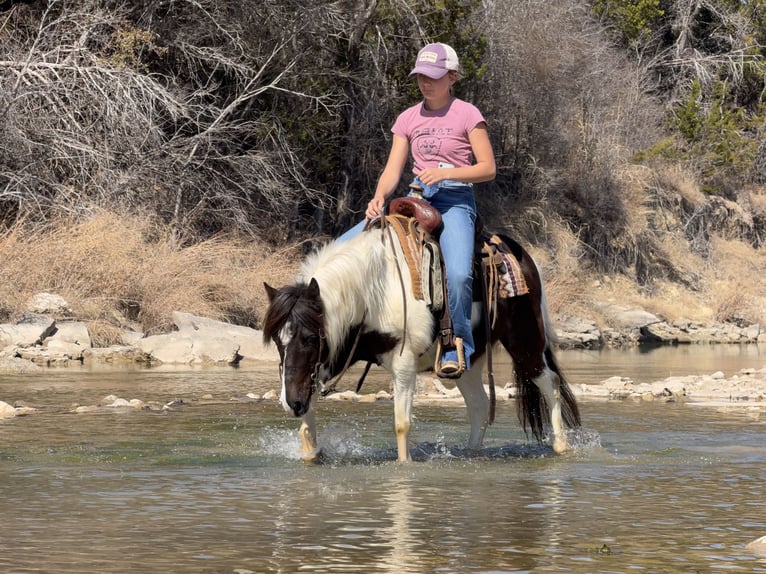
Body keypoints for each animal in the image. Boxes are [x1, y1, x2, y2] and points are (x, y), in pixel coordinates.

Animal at [262, 218, 581, 462]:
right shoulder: (330, 358)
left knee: (548, 381)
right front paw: (311, 455)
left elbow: (402, 423)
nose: (291, 403)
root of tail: (526, 258)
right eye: (278, 341)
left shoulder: (403, 363)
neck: (375, 290)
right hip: (469, 360)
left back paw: (561, 446)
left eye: (310, 337)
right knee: (479, 406)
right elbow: (307, 423)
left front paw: (404, 466)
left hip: (524, 340)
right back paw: (470, 454)